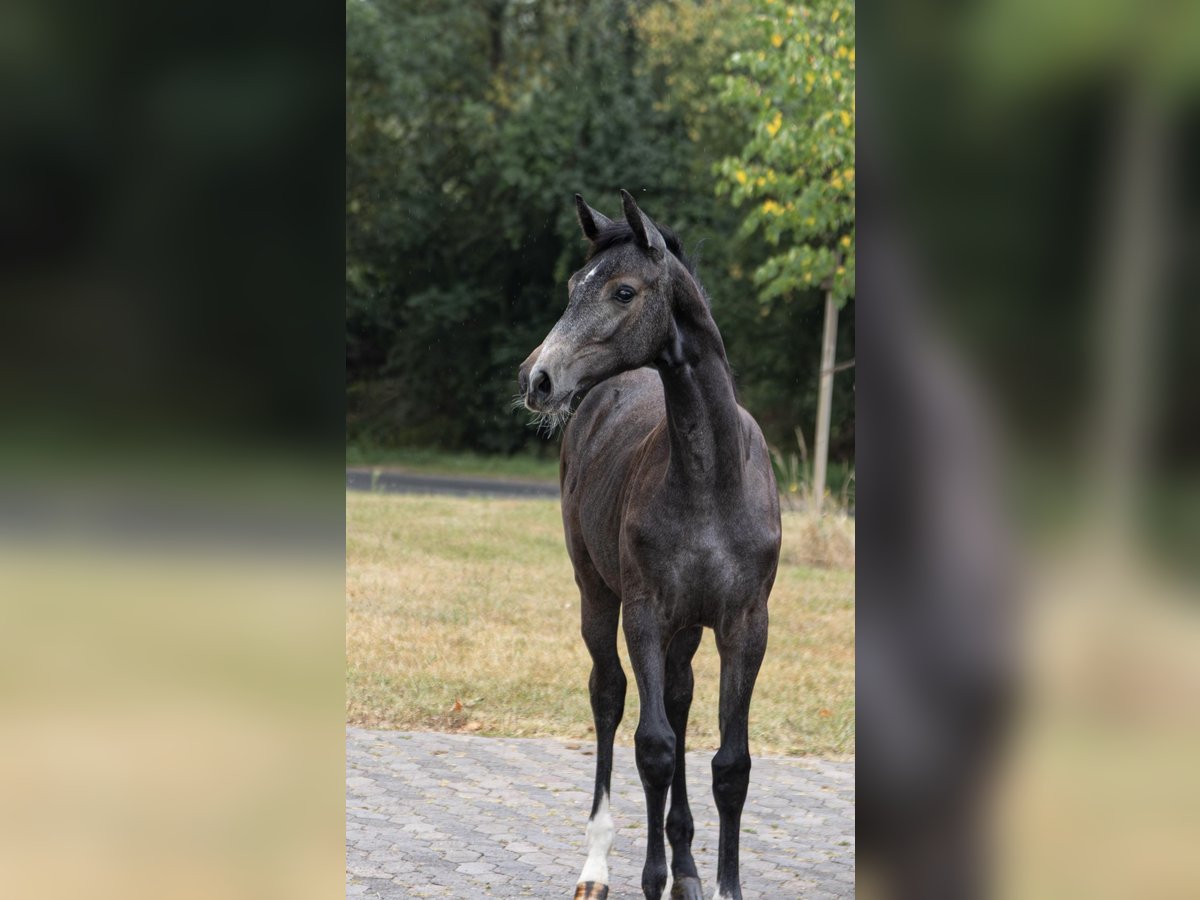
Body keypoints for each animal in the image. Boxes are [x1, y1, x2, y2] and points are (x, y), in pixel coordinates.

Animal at [518, 191, 782, 900]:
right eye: (572, 286)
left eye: (623, 290)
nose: (536, 377)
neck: (710, 479)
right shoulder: (643, 611)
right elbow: (654, 746)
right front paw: (649, 876)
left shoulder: (746, 623)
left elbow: (731, 762)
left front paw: (717, 884)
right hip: (596, 593)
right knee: (609, 695)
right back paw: (598, 867)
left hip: (687, 627)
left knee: (682, 698)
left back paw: (686, 866)